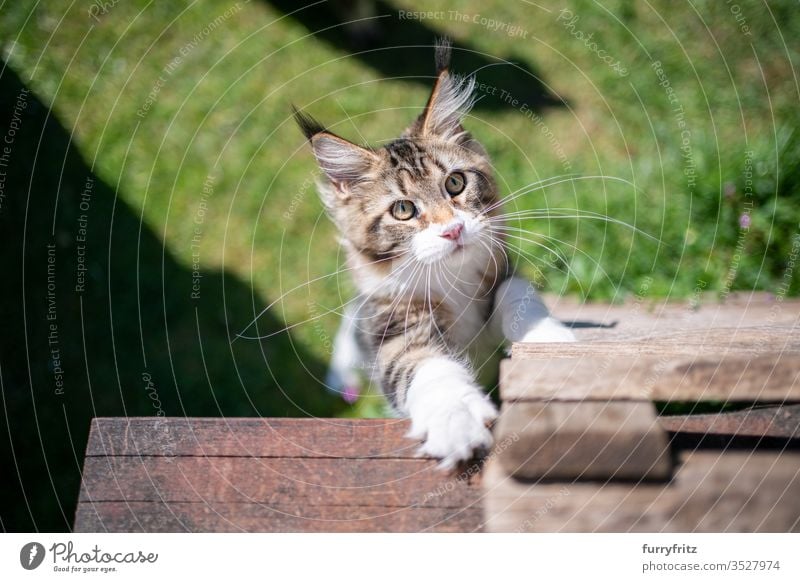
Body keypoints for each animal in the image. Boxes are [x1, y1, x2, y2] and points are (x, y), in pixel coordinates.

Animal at [294, 40, 576, 470]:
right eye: (403, 210)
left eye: (455, 183)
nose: (452, 229)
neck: (453, 282)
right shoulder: (394, 327)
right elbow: (425, 366)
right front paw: (456, 421)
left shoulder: (502, 272)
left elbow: (518, 295)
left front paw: (549, 340)